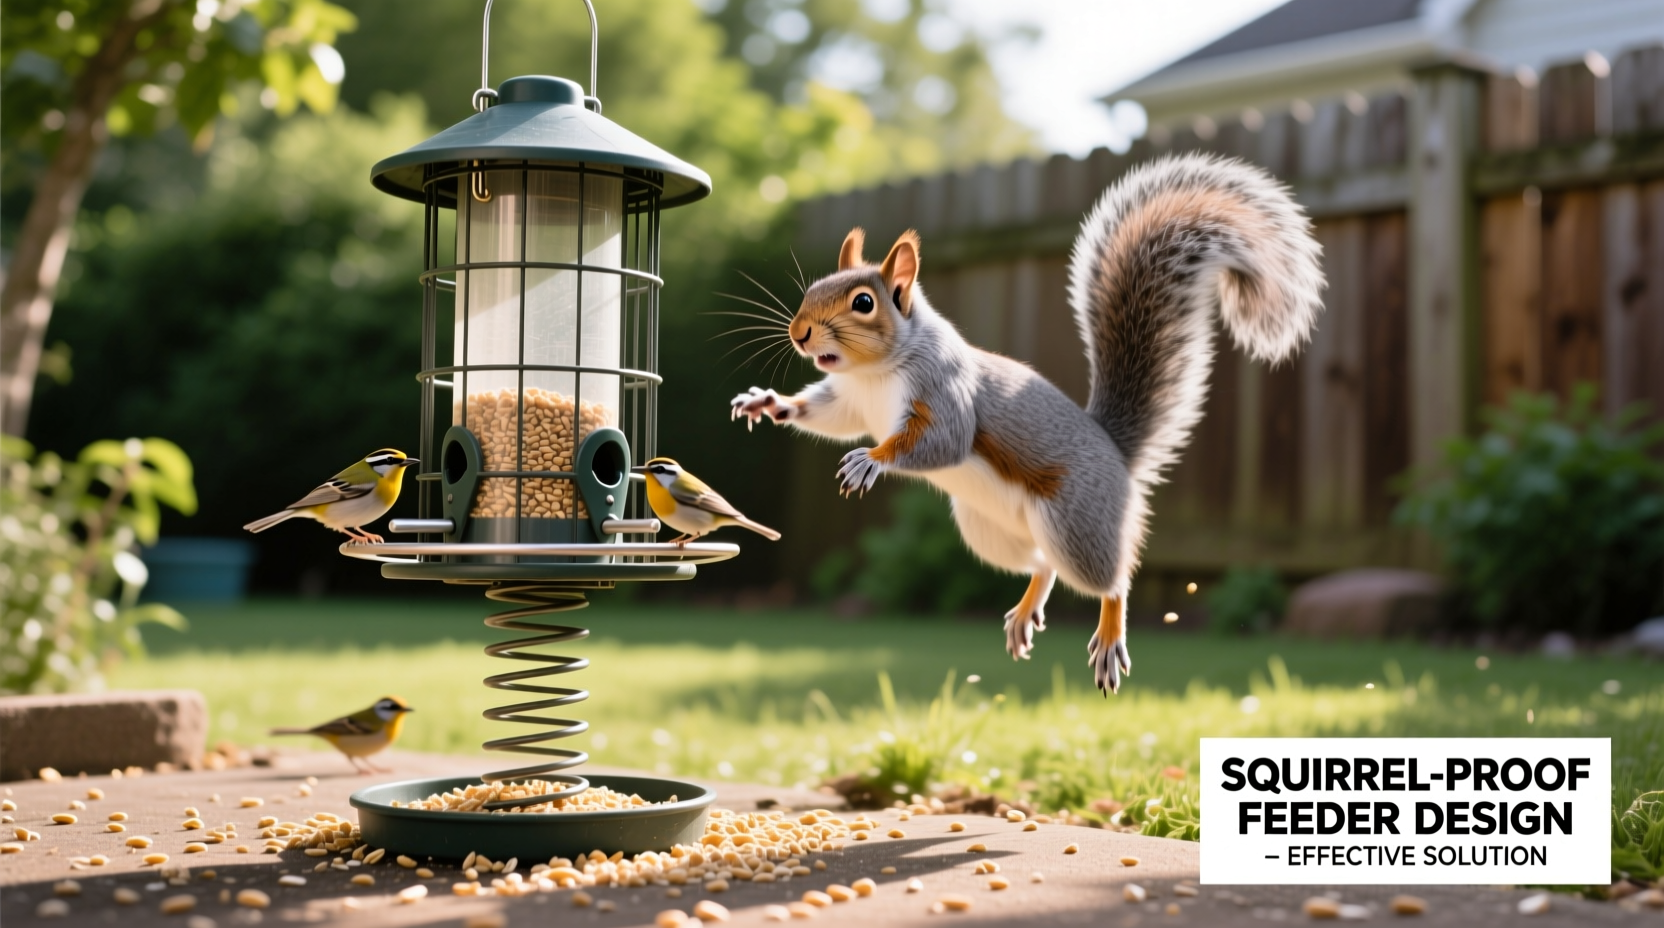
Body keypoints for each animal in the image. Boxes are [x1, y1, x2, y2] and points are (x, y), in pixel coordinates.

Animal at [730, 154, 1325, 694]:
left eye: (862, 302)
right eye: (814, 289)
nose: (800, 333)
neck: (872, 374)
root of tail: (1116, 454)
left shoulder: (945, 392)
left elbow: (941, 442)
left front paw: (869, 461)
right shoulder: (850, 402)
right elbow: (825, 415)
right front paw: (770, 403)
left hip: (1075, 520)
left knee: (1110, 580)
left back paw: (1110, 637)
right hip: (992, 534)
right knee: (1043, 564)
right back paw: (1024, 611)